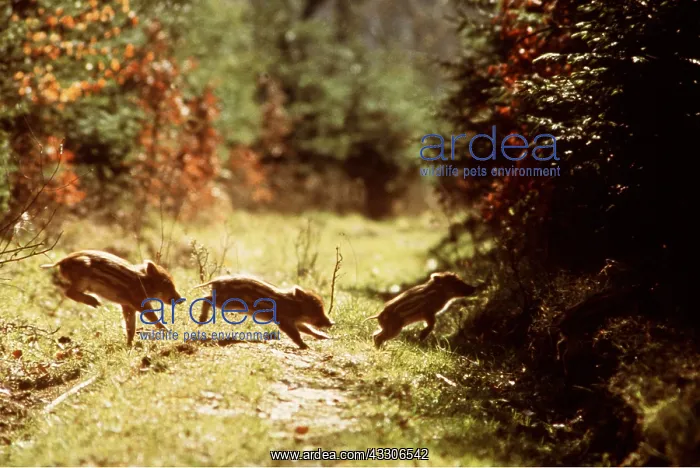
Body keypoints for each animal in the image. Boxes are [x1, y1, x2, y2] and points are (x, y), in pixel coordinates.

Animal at [41, 250, 181, 346]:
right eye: (165, 282)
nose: (180, 299)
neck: (144, 283)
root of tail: (62, 261)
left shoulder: (127, 305)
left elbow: (130, 327)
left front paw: (129, 345)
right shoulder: (138, 302)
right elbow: (152, 317)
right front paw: (170, 332)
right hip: (82, 279)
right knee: (68, 292)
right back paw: (96, 303)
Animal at [194, 275, 333, 349]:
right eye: (316, 308)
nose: (332, 323)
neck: (293, 305)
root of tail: (217, 281)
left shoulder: (295, 321)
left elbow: (308, 329)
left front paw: (325, 337)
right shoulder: (283, 320)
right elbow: (295, 334)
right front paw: (306, 346)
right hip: (227, 302)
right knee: (206, 298)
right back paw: (201, 320)